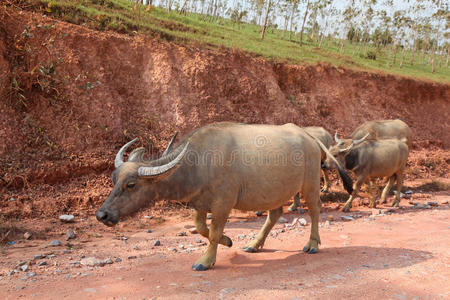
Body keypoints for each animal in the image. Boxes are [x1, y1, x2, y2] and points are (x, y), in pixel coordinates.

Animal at [96, 121, 354, 270]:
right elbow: (201, 228)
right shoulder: (200, 204)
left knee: (314, 210)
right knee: (275, 214)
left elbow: (212, 232)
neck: (198, 163)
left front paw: (205, 261)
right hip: (275, 191)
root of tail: (310, 138)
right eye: (113, 179)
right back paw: (254, 245)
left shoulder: (223, 203)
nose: (102, 215)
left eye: (131, 184)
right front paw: (228, 241)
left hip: (309, 183)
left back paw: (312, 244)